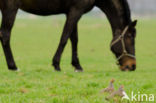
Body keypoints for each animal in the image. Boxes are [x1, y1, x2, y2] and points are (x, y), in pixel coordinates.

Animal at [0, 0, 137, 71]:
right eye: (130, 37)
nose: (132, 65)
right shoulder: (76, 11)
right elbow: (64, 38)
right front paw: (56, 64)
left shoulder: (72, 12)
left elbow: (74, 39)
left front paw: (77, 65)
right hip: (10, 7)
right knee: (5, 35)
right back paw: (13, 66)